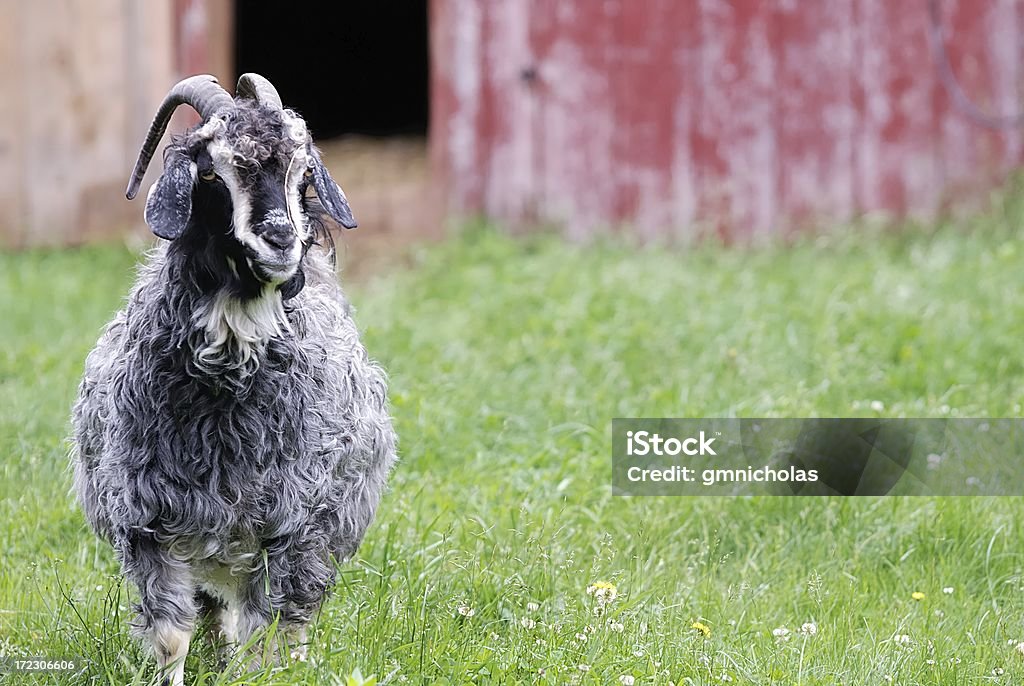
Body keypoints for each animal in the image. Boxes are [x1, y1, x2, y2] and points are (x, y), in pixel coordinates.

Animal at [70, 75, 397, 686]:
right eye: (210, 173)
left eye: (303, 173)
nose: (282, 241)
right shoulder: (148, 524)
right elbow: (171, 638)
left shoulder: (288, 529)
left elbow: (260, 644)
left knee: (290, 623)